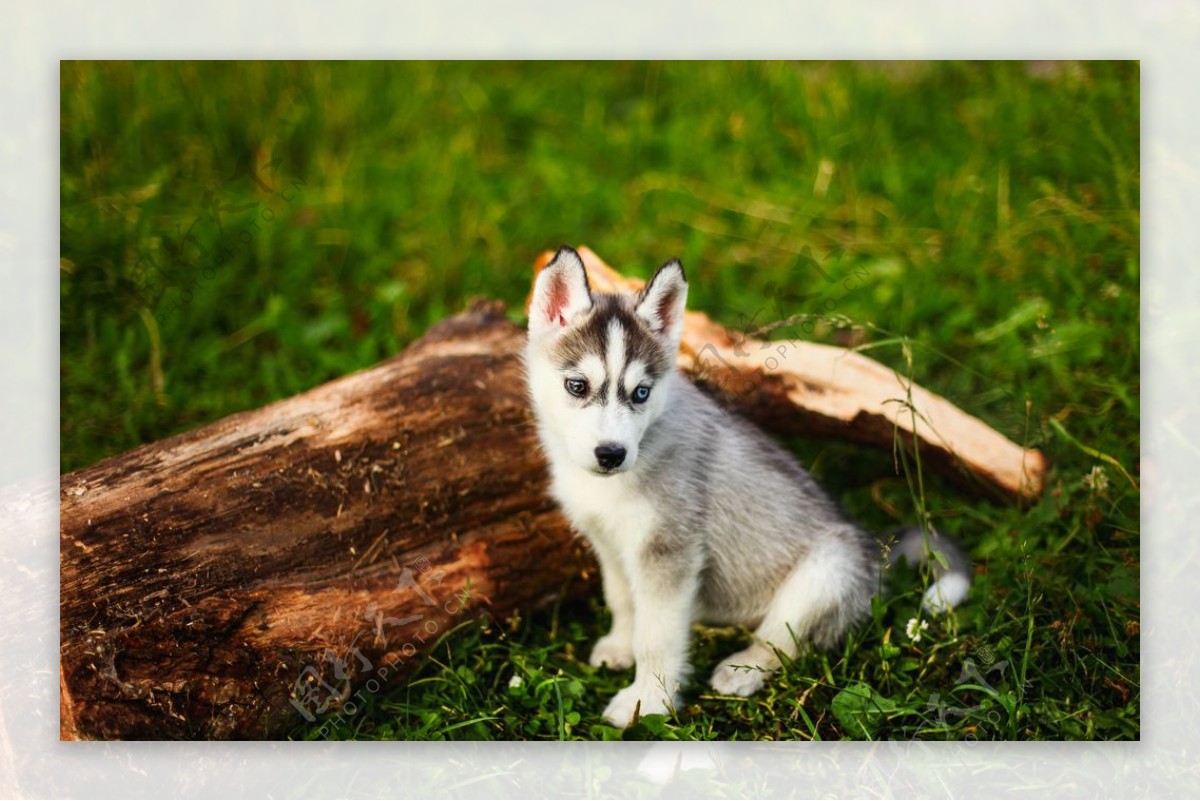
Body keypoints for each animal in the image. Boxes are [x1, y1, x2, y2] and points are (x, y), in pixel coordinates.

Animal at [523, 247, 964, 729]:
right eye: (577, 386)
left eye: (640, 393)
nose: (611, 454)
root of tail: (874, 552)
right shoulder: (610, 543)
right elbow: (622, 601)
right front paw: (619, 647)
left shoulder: (669, 552)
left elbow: (656, 635)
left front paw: (647, 702)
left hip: (825, 573)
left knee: (784, 641)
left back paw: (742, 669)